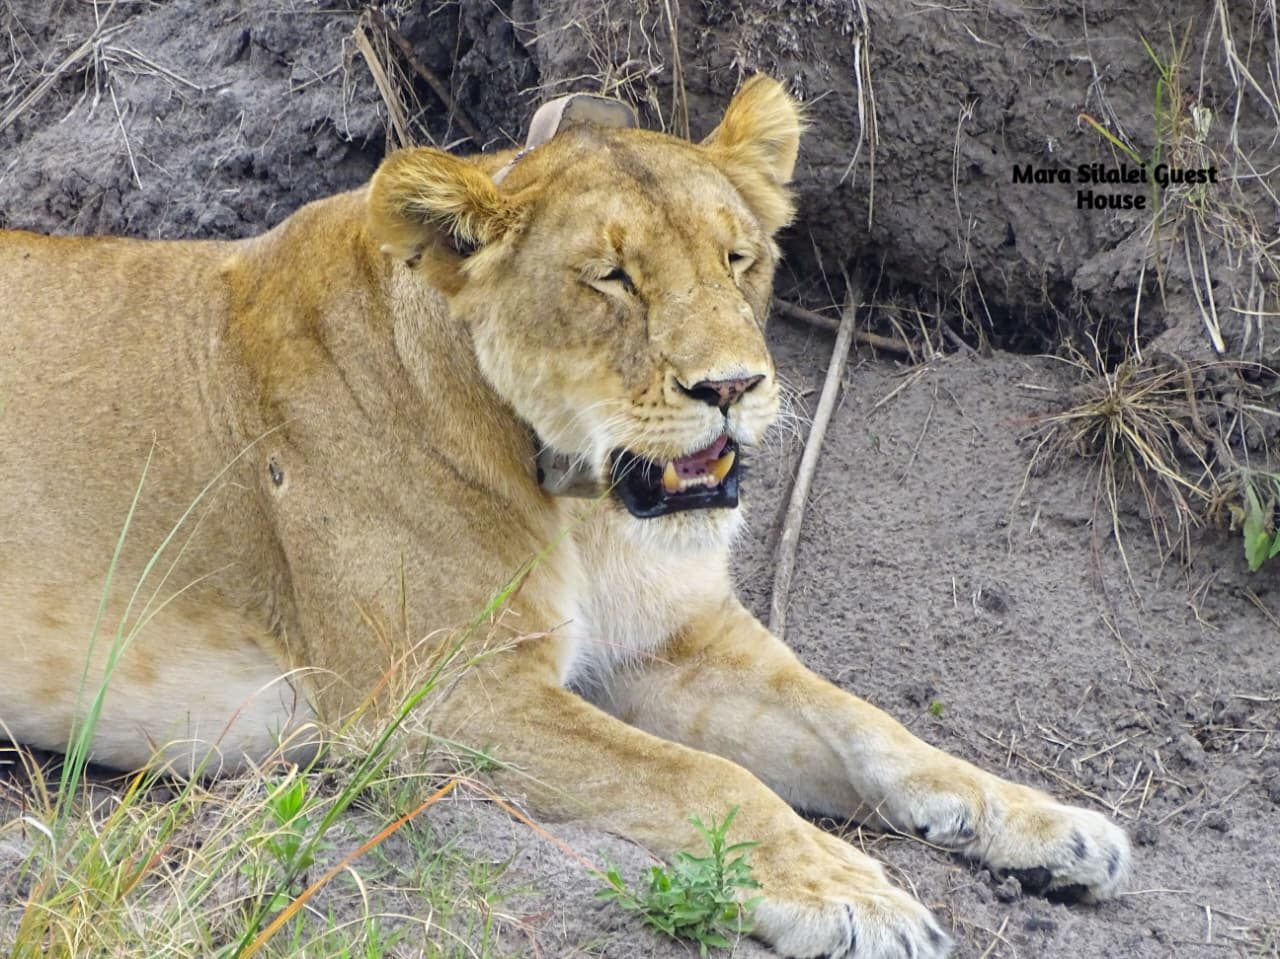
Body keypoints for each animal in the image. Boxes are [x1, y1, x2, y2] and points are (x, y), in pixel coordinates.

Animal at [0, 76, 1128, 957]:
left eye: (737, 258)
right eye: (612, 277)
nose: (733, 386)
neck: (587, 505)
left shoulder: (671, 640)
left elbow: (865, 725)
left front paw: (1053, 826)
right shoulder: (439, 695)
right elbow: (702, 779)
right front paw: (851, 895)